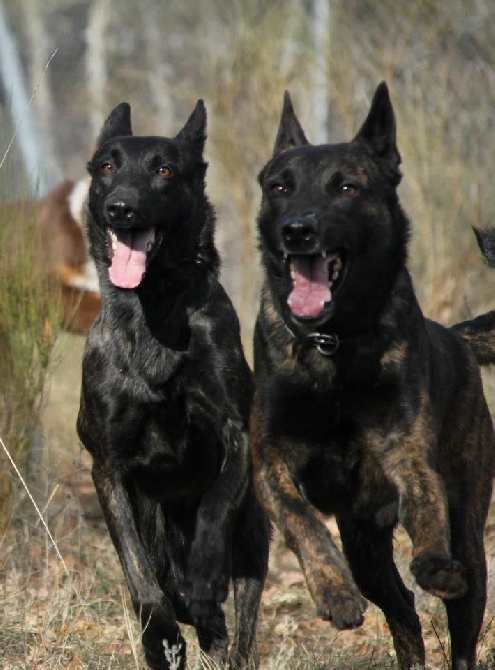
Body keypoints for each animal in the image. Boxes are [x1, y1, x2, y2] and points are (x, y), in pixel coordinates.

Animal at [77, 102, 270, 670]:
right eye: (107, 167)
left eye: (163, 170)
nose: (120, 209)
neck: (154, 310)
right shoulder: (108, 469)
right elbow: (140, 576)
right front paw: (159, 637)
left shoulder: (234, 432)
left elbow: (216, 505)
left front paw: (204, 575)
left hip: (254, 535)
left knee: (239, 627)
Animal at [252, 84, 495, 670]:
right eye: (278, 187)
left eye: (347, 187)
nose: (297, 230)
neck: (334, 344)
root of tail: (456, 337)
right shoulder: (270, 459)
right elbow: (301, 520)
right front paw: (333, 592)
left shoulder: (405, 450)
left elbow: (427, 512)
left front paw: (433, 564)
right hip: (365, 546)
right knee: (402, 611)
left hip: (470, 534)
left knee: (460, 624)